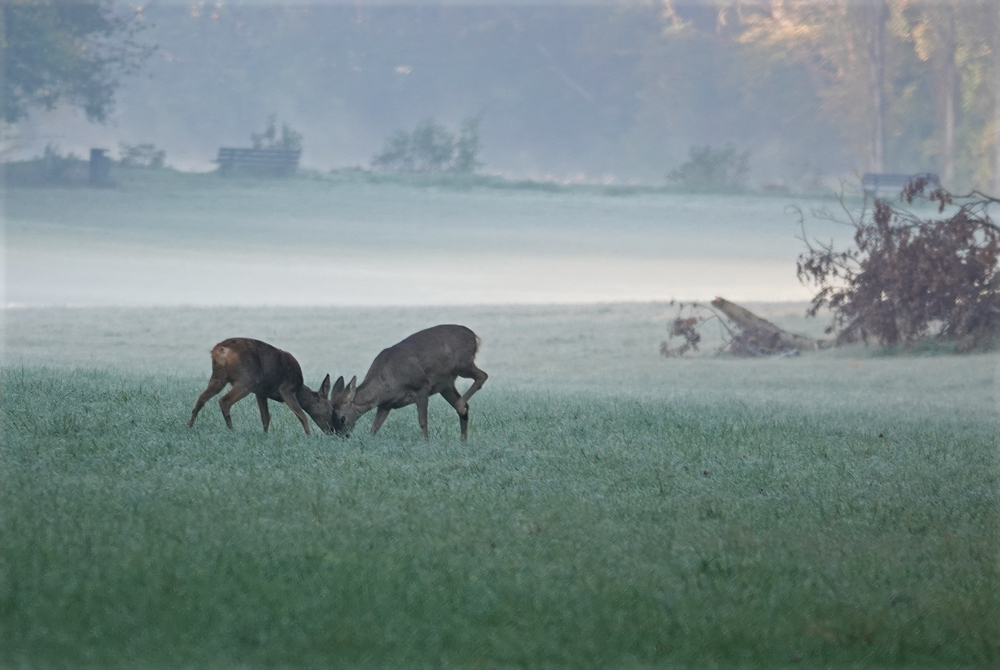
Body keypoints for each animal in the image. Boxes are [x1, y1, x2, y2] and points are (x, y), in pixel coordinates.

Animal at [189, 338, 338, 438]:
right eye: (331, 409)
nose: (332, 430)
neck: (299, 388)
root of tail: (221, 350)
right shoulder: (287, 389)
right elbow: (302, 415)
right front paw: (309, 436)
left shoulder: (261, 392)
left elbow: (265, 417)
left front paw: (265, 435)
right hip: (248, 379)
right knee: (224, 400)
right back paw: (232, 430)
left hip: (219, 377)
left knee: (202, 398)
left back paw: (190, 425)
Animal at [332, 324, 488, 440]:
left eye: (342, 418)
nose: (342, 436)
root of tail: (474, 336)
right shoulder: (385, 405)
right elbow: (374, 427)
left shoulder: (422, 387)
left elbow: (423, 421)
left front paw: (427, 443)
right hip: (445, 385)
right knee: (466, 403)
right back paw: (463, 440)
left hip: (463, 364)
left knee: (483, 375)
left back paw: (460, 408)